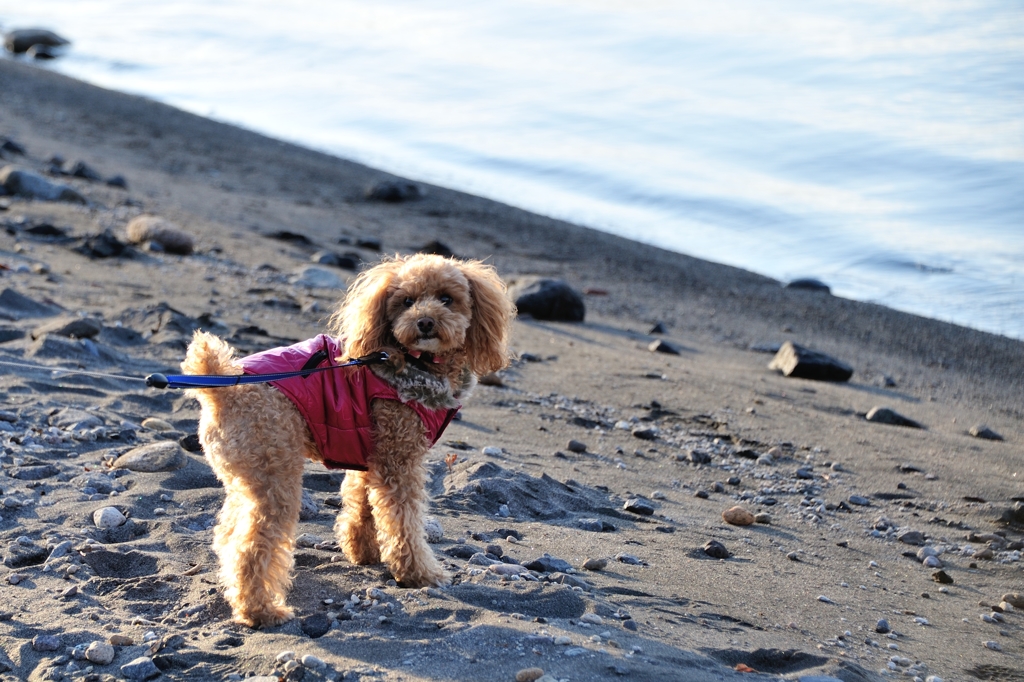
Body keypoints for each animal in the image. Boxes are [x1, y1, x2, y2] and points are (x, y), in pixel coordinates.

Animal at [181, 251, 516, 622]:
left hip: (247, 477)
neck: (410, 361)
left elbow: (363, 506)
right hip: (274, 473)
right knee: (252, 546)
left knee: (228, 535)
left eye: (447, 299)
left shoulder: (371, 456)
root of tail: (223, 391)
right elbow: (404, 523)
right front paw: (419, 573)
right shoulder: (398, 458)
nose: (425, 322)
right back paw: (260, 610)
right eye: (407, 301)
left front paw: (364, 551)